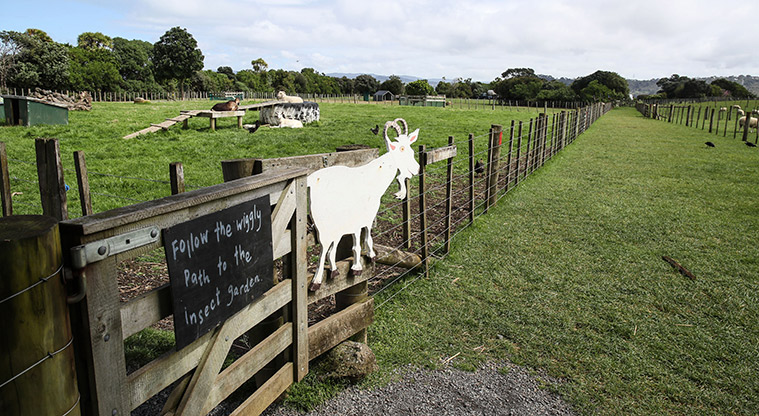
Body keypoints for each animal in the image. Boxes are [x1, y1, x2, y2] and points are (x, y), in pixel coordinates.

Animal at [307, 118, 420, 291]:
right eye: (401, 148)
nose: (417, 168)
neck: (374, 176)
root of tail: (309, 182)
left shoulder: (360, 216)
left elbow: (361, 237)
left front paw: (362, 262)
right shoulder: (366, 213)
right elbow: (364, 237)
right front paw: (361, 264)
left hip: (337, 224)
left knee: (331, 248)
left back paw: (334, 270)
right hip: (323, 221)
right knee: (324, 246)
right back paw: (316, 281)